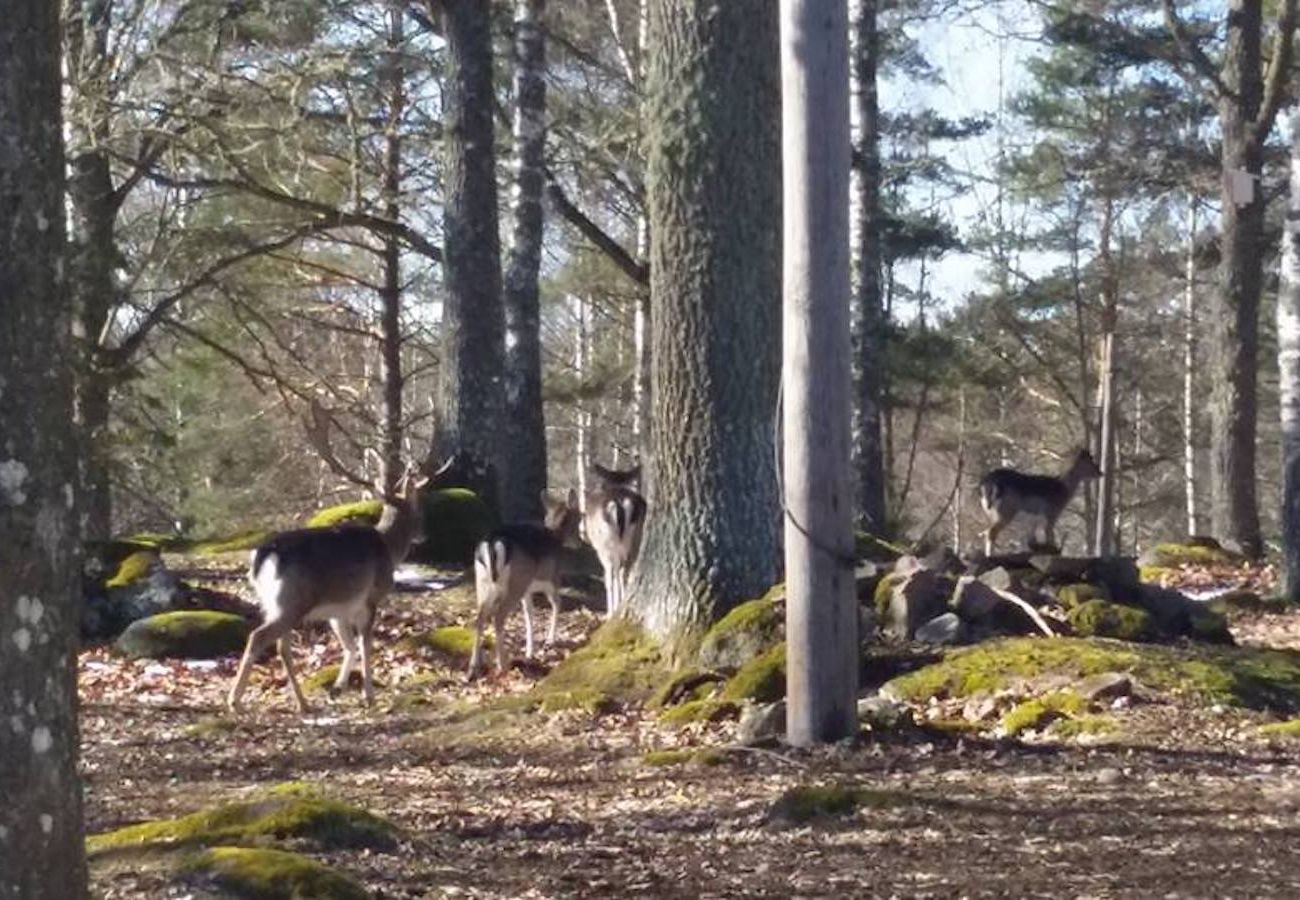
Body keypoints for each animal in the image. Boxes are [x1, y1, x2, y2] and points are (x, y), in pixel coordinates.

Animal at [227, 468, 431, 712]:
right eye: (419, 510)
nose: (424, 535)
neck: (389, 548)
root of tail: (263, 556)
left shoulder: (337, 611)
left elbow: (349, 646)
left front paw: (337, 689)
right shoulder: (369, 600)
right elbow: (365, 645)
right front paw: (368, 696)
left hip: (273, 603)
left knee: (281, 648)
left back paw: (303, 703)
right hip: (292, 601)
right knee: (258, 637)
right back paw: (235, 701)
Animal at [467, 489, 579, 676]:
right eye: (579, 515)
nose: (581, 537)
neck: (556, 536)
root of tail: (492, 543)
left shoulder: (528, 589)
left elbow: (529, 613)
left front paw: (529, 651)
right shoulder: (552, 578)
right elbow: (557, 603)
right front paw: (549, 641)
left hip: (482, 580)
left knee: (480, 616)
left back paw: (474, 665)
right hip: (515, 583)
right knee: (498, 616)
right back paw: (502, 664)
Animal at [587, 463, 647, 619]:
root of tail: (619, 503)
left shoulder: (600, 549)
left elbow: (609, 577)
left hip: (606, 544)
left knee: (612, 574)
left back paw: (611, 612)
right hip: (635, 539)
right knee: (624, 572)